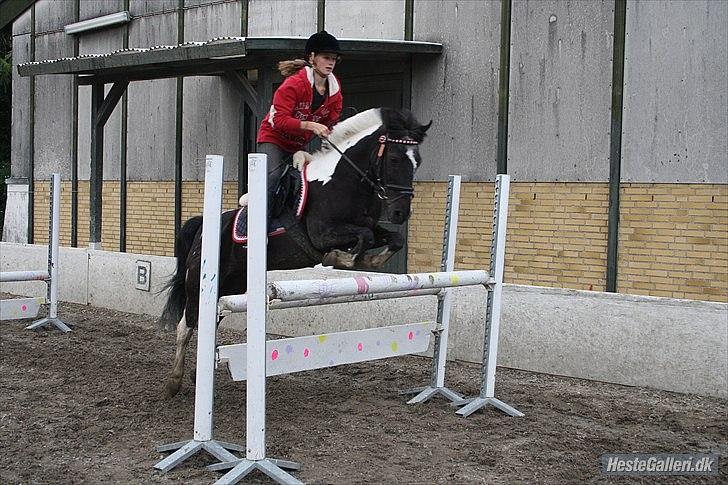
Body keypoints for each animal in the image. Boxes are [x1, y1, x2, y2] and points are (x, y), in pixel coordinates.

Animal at [160, 107, 432, 398]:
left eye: (418, 161)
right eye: (394, 159)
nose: (400, 213)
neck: (341, 181)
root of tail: (202, 227)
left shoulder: (370, 226)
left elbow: (393, 238)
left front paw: (369, 259)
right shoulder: (323, 234)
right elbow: (362, 238)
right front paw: (340, 258)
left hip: (229, 287)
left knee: (208, 323)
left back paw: (198, 373)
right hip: (198, 282)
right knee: (186, 326)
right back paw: (174, 381)